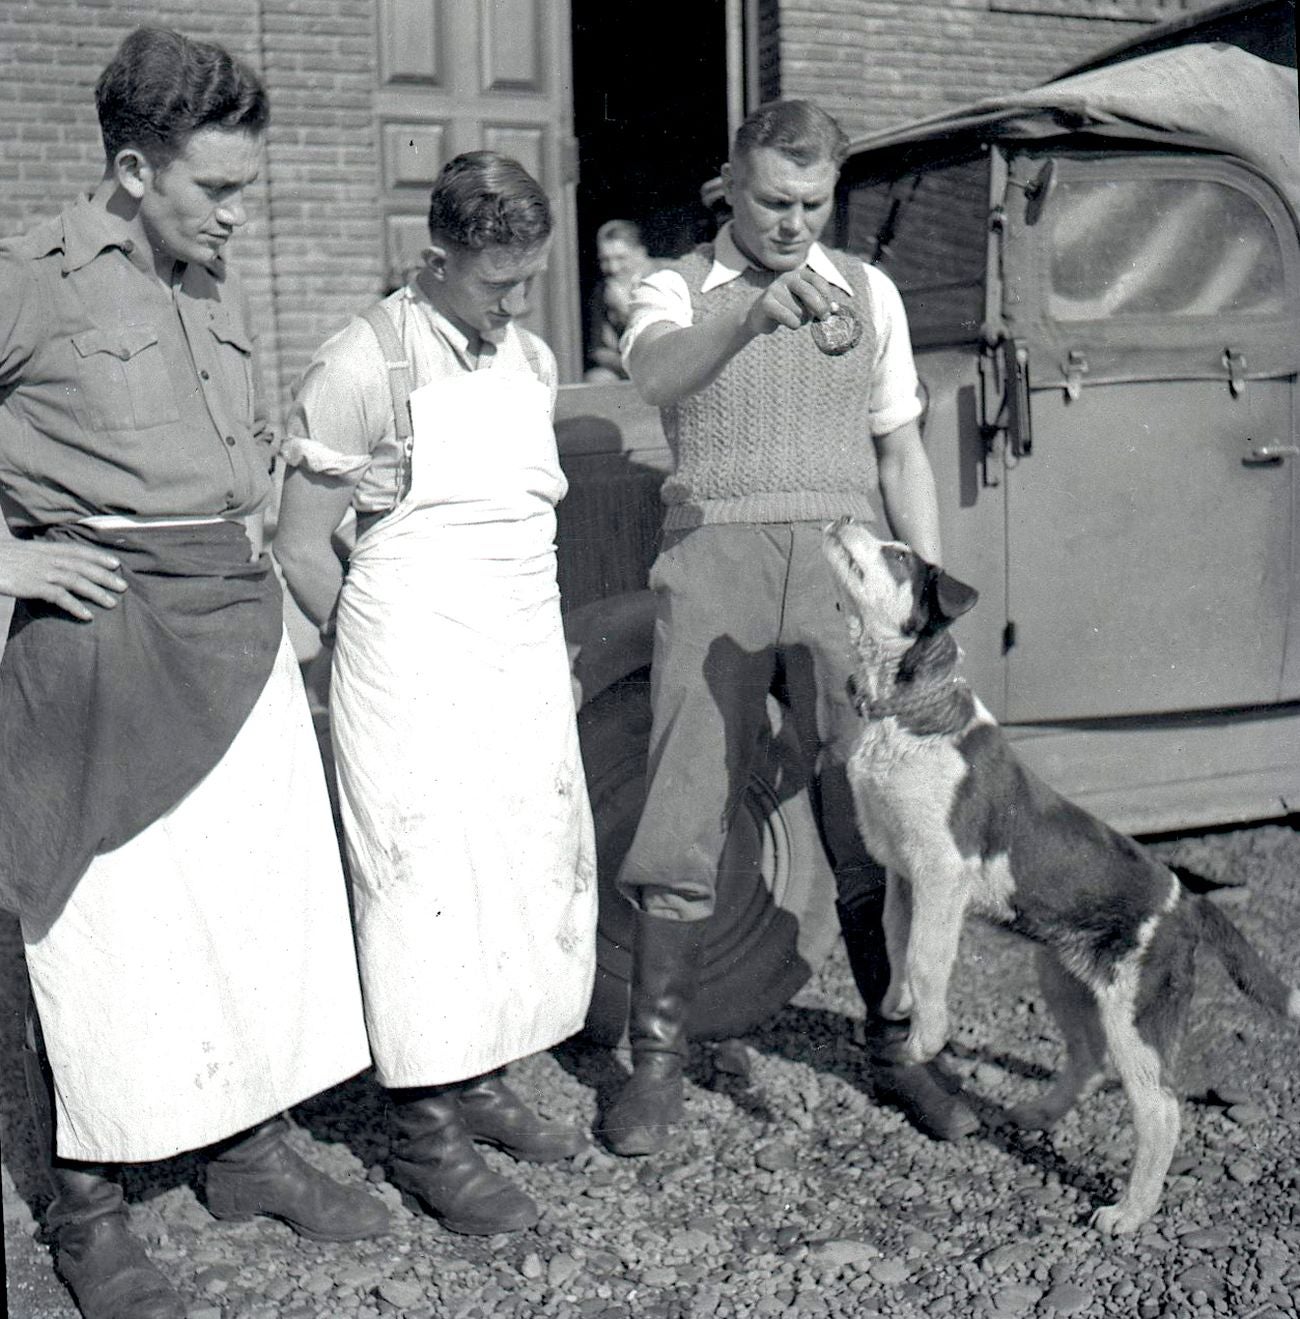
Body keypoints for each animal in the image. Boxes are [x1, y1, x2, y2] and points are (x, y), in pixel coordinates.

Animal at [822, 514, 1297, 1234]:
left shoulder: (941, 871)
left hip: (1138, 1014)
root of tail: (1187, 901)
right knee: (1087, 1060)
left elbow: (929, 958)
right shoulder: (902, 872)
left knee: (1160, 1110)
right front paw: (899, 1007)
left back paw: (1129, 1212)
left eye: (898, 554)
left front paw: (925, 1038)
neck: (906, 711)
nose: (846, 516)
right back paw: (1040, 1113)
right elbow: (897, 942)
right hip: (1064, 978)